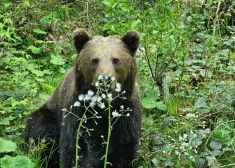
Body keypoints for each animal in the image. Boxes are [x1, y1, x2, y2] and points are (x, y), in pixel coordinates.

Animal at [24, 29, 141, 168]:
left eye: (116, 60)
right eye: (95, 60)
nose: (105, 79)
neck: (102, 106)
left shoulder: (126, 113)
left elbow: (123, 148)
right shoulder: (78, 111)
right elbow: (75, 148)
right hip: (51, 113)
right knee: (39, 130)